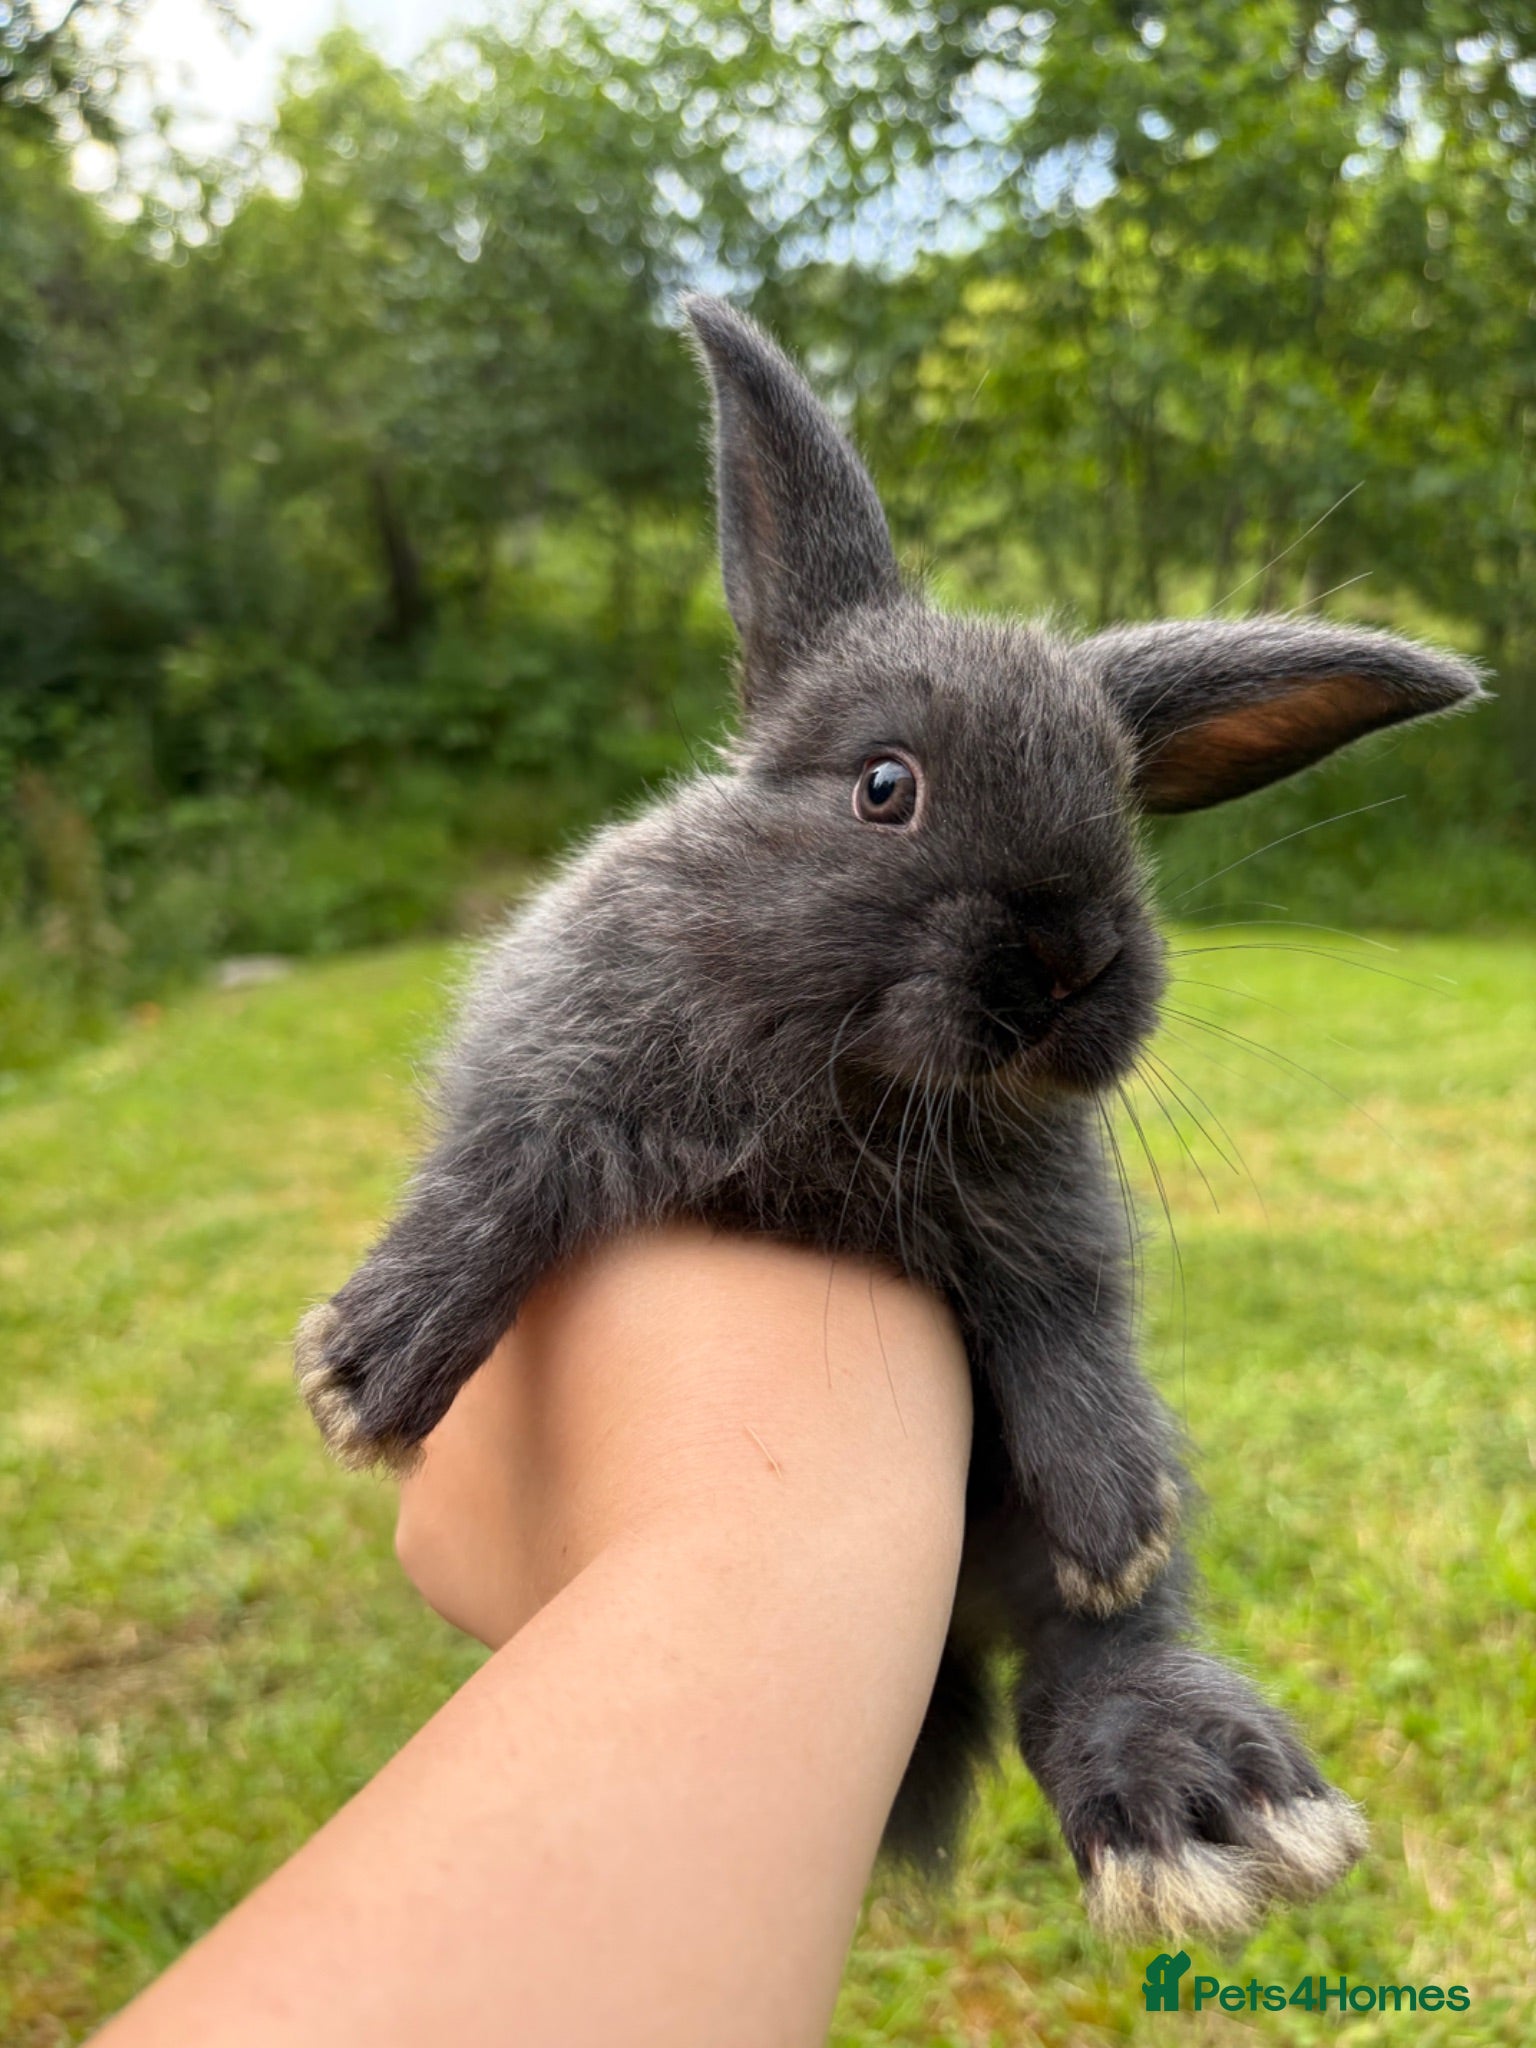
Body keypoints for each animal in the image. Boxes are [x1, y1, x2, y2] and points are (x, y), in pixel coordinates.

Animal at [295, 295, 1483, 1939]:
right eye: (882, 786)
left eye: (1124, 817)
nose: (1070, 961)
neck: (862, 1077)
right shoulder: (550, 1053)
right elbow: (502, 1180)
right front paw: (368, 1374)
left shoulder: (1050, 1236)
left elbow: (1069, 1333)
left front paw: (1119, 1521)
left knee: (1090, 1655)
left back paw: (1208, 1808)